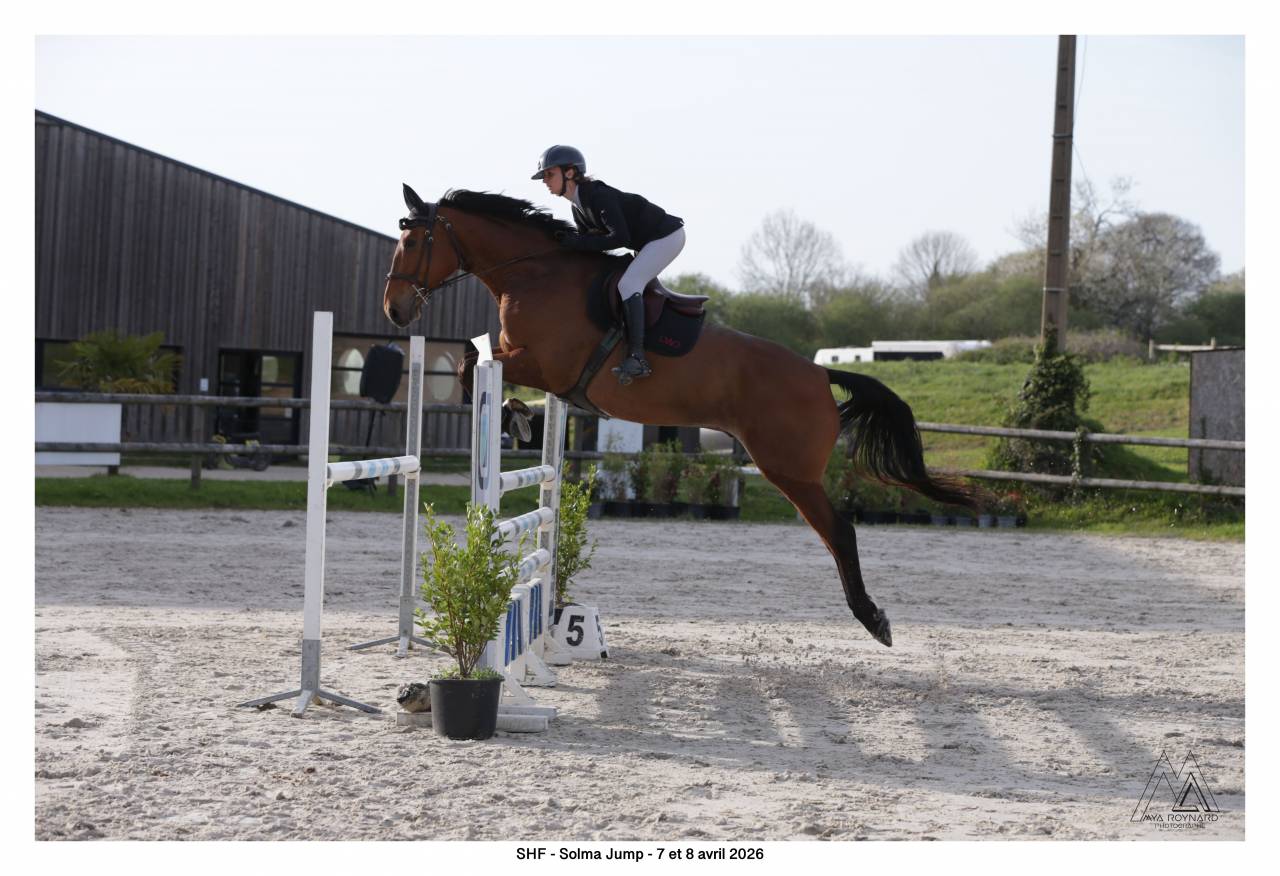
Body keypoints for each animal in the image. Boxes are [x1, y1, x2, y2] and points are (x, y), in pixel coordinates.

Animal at [382, 185, 980, 647]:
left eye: (413, 241)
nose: (395, 310)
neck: (534, 273)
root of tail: (817, 373)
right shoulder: (528, 362)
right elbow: (475, 361)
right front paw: (519, 419)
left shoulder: (545, 362)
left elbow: (470, 362)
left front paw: (513, 419)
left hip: (788, 469)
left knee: (840, 532)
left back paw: (872, 618)